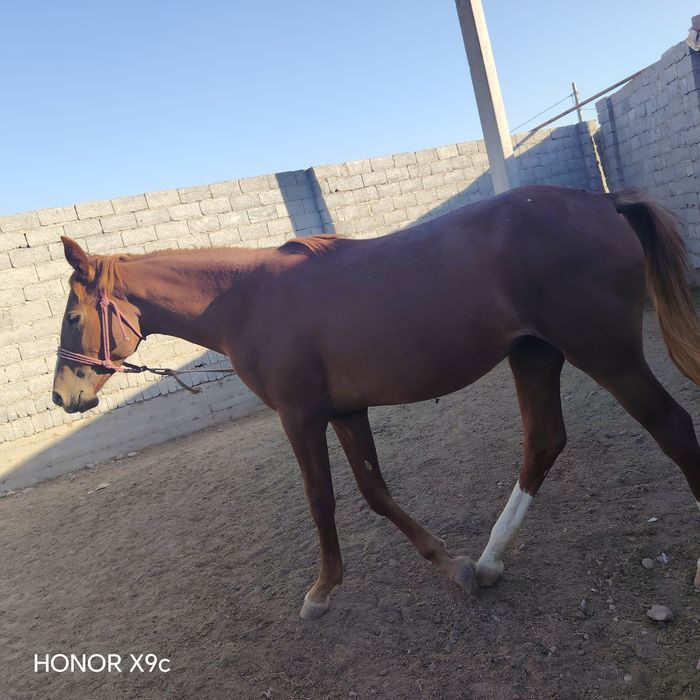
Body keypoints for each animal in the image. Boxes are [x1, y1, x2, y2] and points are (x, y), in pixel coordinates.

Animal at [51, 184, 700, 619]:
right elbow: (375, 493)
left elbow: (322, 499)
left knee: (673, 427)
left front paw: (320, 591)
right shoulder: (345, 412)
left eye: (74, 317)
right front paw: (451, 565)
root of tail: (602, 201)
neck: (249, 301)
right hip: (536, 354)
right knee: (543, 442)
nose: (63, 396)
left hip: (605, 352)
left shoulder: (301, 417)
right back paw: (489, 560)